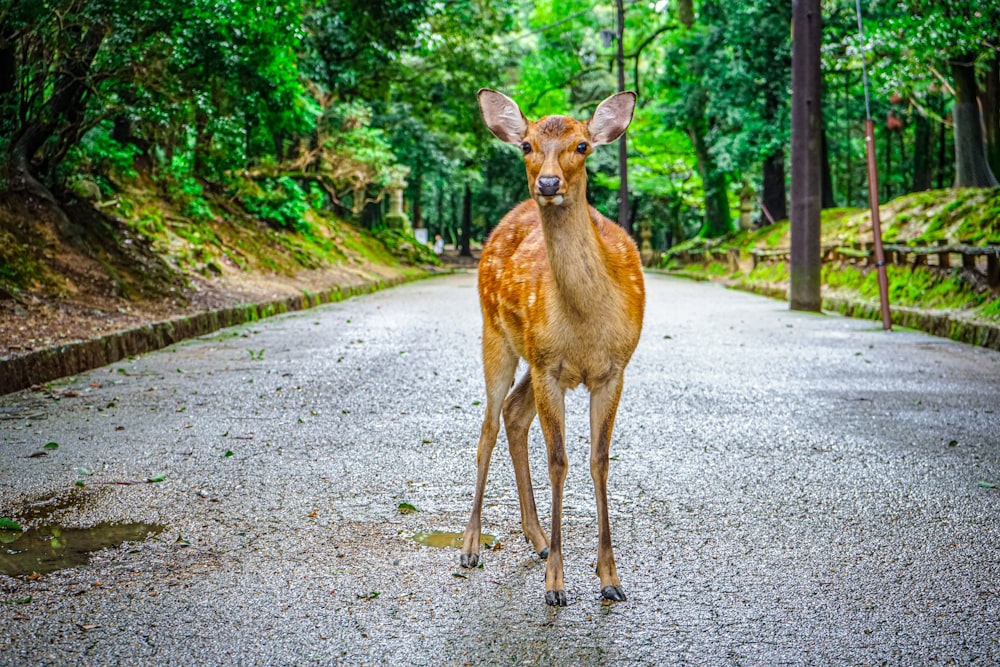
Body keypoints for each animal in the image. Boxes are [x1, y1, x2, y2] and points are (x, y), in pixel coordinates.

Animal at [458, 88, 644, 604]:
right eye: (526, 145)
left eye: (582, 145)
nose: (547, 182)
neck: (584, 327)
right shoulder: (550, 369)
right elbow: (559, 462)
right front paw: (557, 584)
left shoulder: (613, 370)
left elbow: (599, 462)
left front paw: (610, 578)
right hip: (496, 333)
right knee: (488, 427)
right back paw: (472, 545)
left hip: (530, 353)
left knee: (513, 413)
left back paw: (537, 538)